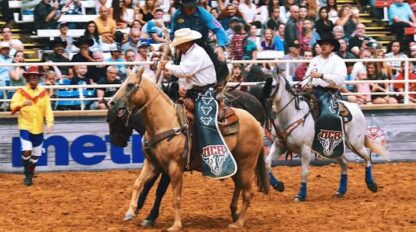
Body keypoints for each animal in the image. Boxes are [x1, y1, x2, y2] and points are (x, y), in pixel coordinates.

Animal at [109, 67, 268, 230]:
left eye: (130, 85)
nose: (112, 103)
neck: (165, 123)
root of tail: (255, 122)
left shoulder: (173, 167)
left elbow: (172, 196)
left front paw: (174, 224)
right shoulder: (153, 164)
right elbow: (138, 183)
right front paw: (131, 212)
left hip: (246, 164)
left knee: (248, 192)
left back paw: (238, 222)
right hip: (234, 165)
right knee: (239, 186)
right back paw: (234, 213)